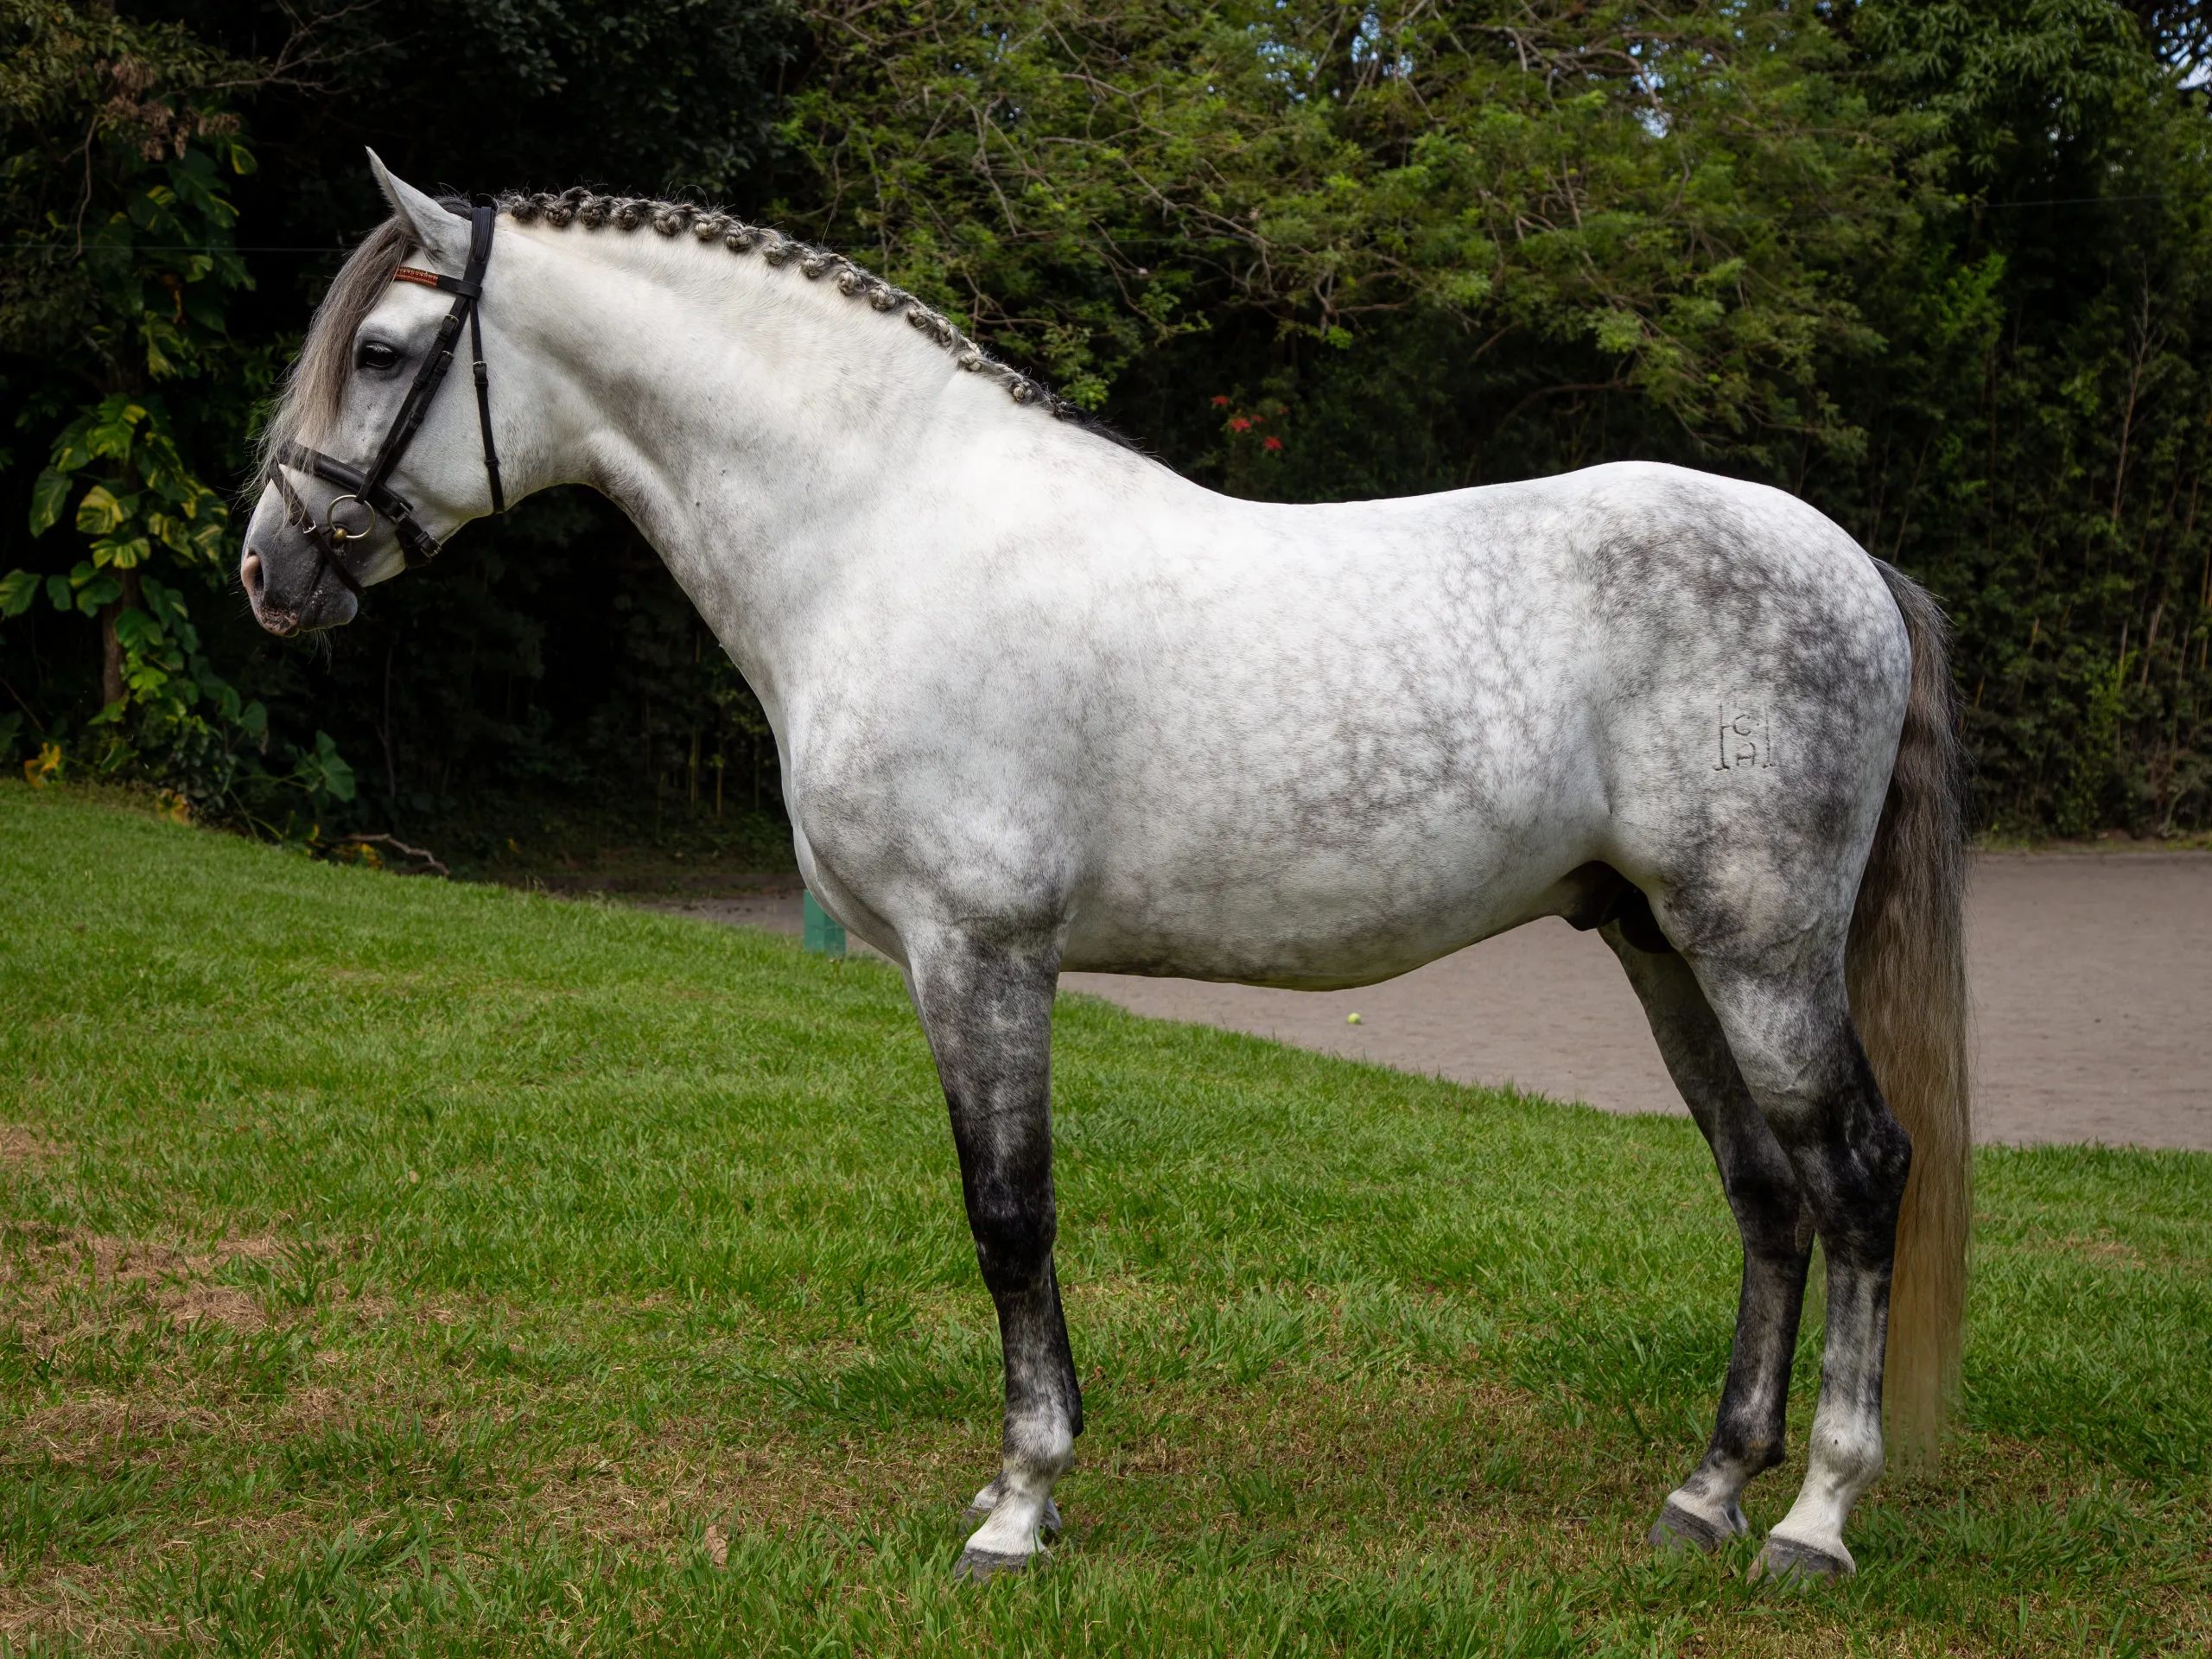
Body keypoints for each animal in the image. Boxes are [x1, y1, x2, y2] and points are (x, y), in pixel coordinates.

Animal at [241, 154, 1970, 1583]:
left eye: (381, 352)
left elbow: (1008, 1214)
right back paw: (1705, 1494)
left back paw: (1814, 1520)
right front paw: (1029, 1483)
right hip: (1662, 946)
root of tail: (1845, 558)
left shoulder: (982, 950)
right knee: (1767, 1194)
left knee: (1859, 1174)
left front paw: (1019, 1506)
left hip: (1757, 949)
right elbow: (1011, 1218)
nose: (269, 569)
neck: (882, 532)